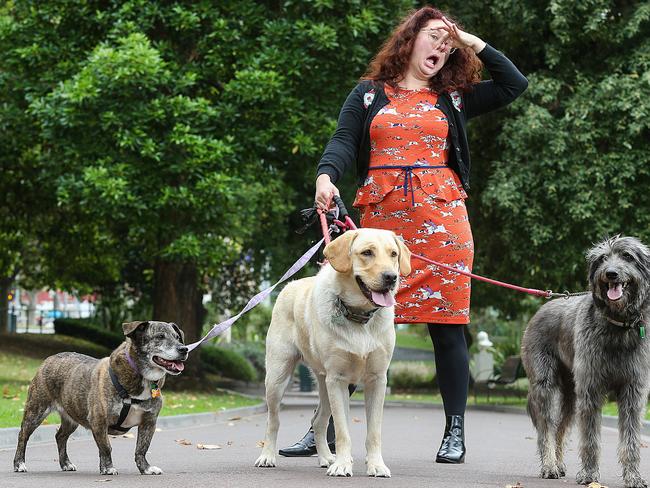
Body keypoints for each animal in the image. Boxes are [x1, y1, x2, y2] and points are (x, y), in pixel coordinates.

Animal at [13, 320, 186, 476]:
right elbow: (106, 447)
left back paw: (65, 463)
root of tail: (51, 358)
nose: (184, 349)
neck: (142, 376)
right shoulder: (99, 420)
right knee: (23, 435)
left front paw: (145, 468)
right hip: (36, 410)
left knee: (60, 436)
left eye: (178, 337)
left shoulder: (148, 422)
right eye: (160, 336)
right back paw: (19, 463)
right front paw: (108, 468)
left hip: (72, 416)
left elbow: (142, 448)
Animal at [520, 234, 648, 486]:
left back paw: (558, 464)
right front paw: (589, 475)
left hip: (571, 394)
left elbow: (630, 440)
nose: (610, 274)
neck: (617, 327)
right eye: (602, 258)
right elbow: (590, 438)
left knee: (560, 428)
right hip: (545, 385)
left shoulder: (632, 391)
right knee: (546, 429)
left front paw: (633, 477)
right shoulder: (591, 390)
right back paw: (549, 466)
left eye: (627, 256)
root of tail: (543, 307)